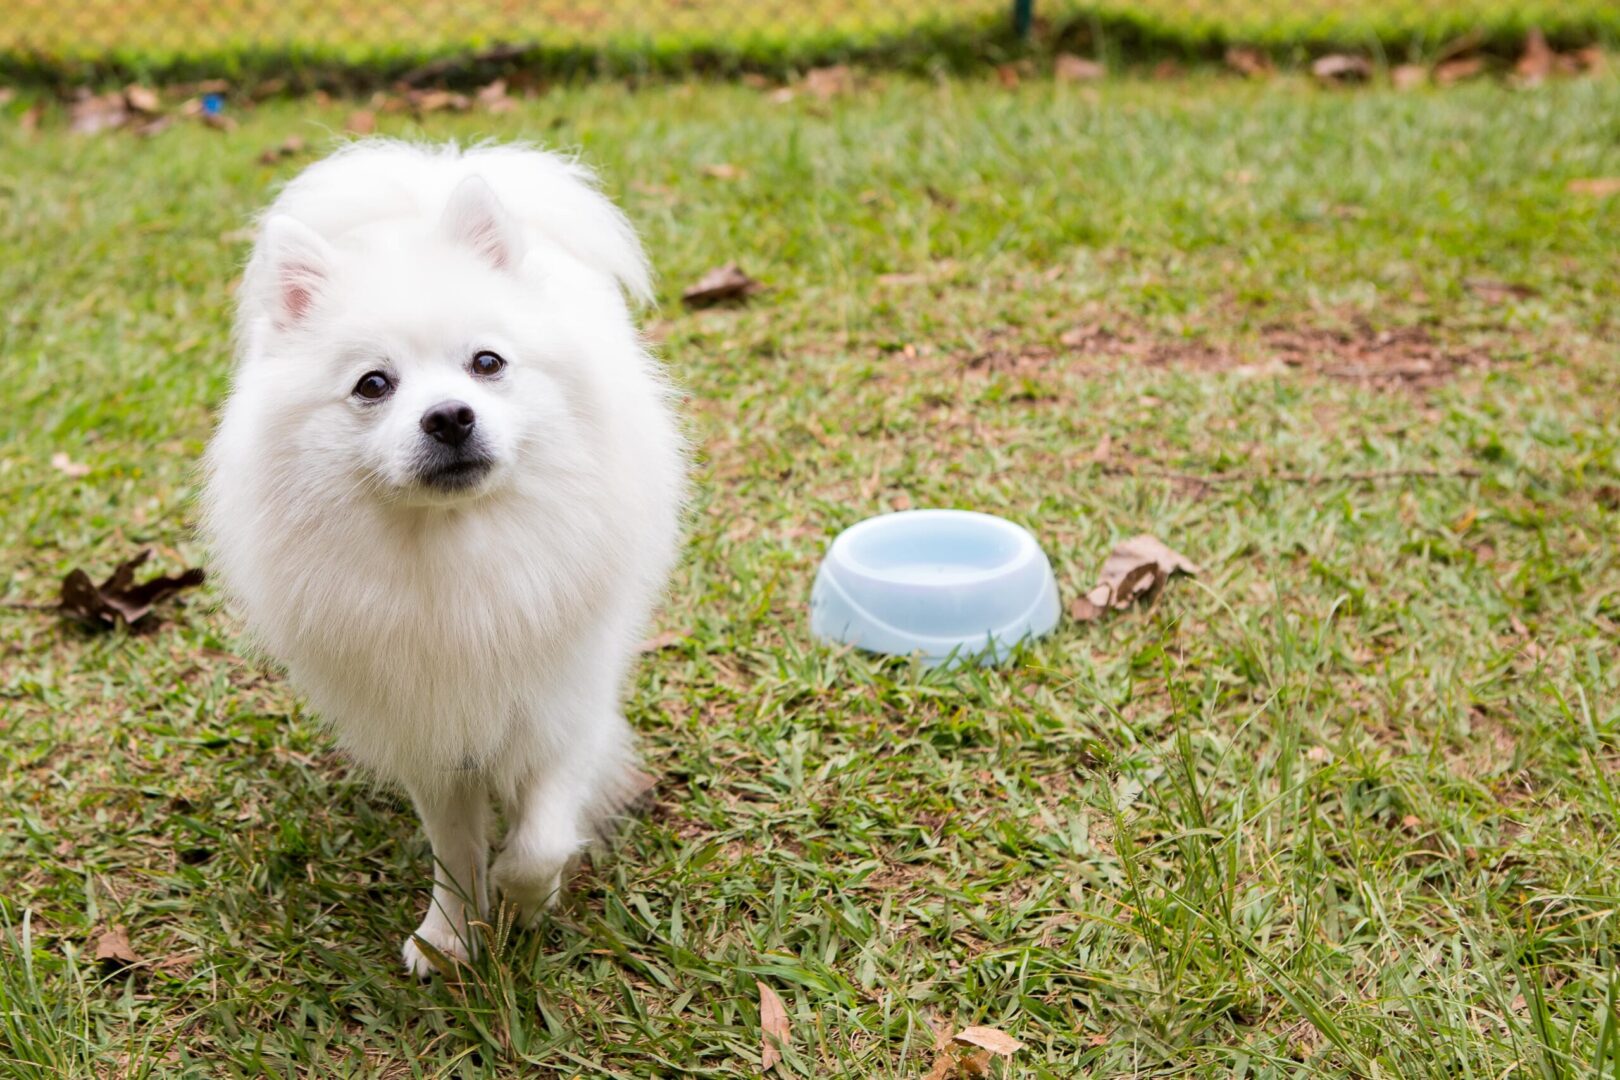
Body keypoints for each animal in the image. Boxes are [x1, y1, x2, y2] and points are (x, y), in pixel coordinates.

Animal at [204, 141, 683, 977]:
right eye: (373, 384)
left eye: (486, 363)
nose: (450, 416)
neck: (455, 550)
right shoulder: (430, 726)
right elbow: (455, 849)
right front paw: (452, 933)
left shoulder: (563, 704)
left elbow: (539, 838)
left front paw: (527, 898)